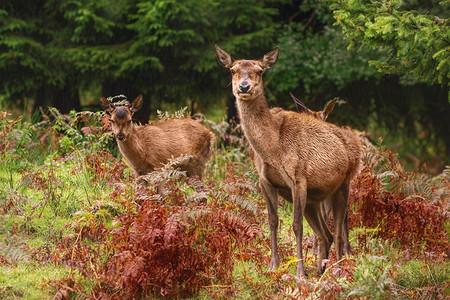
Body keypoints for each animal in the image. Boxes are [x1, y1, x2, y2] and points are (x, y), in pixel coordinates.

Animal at [215, 45, 362, 278]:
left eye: (260, 70)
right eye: (232, 70)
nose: (244, 86)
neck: (272, 148)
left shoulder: (298, 178)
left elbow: (296, 225)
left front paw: (299, 272)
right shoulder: (265, 182)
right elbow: (273, 221)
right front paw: (273, 266)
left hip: (343, 184)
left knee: (339, 232)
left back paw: (338, 271)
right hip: (315, 198)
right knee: (326, 234)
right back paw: (320, 271)